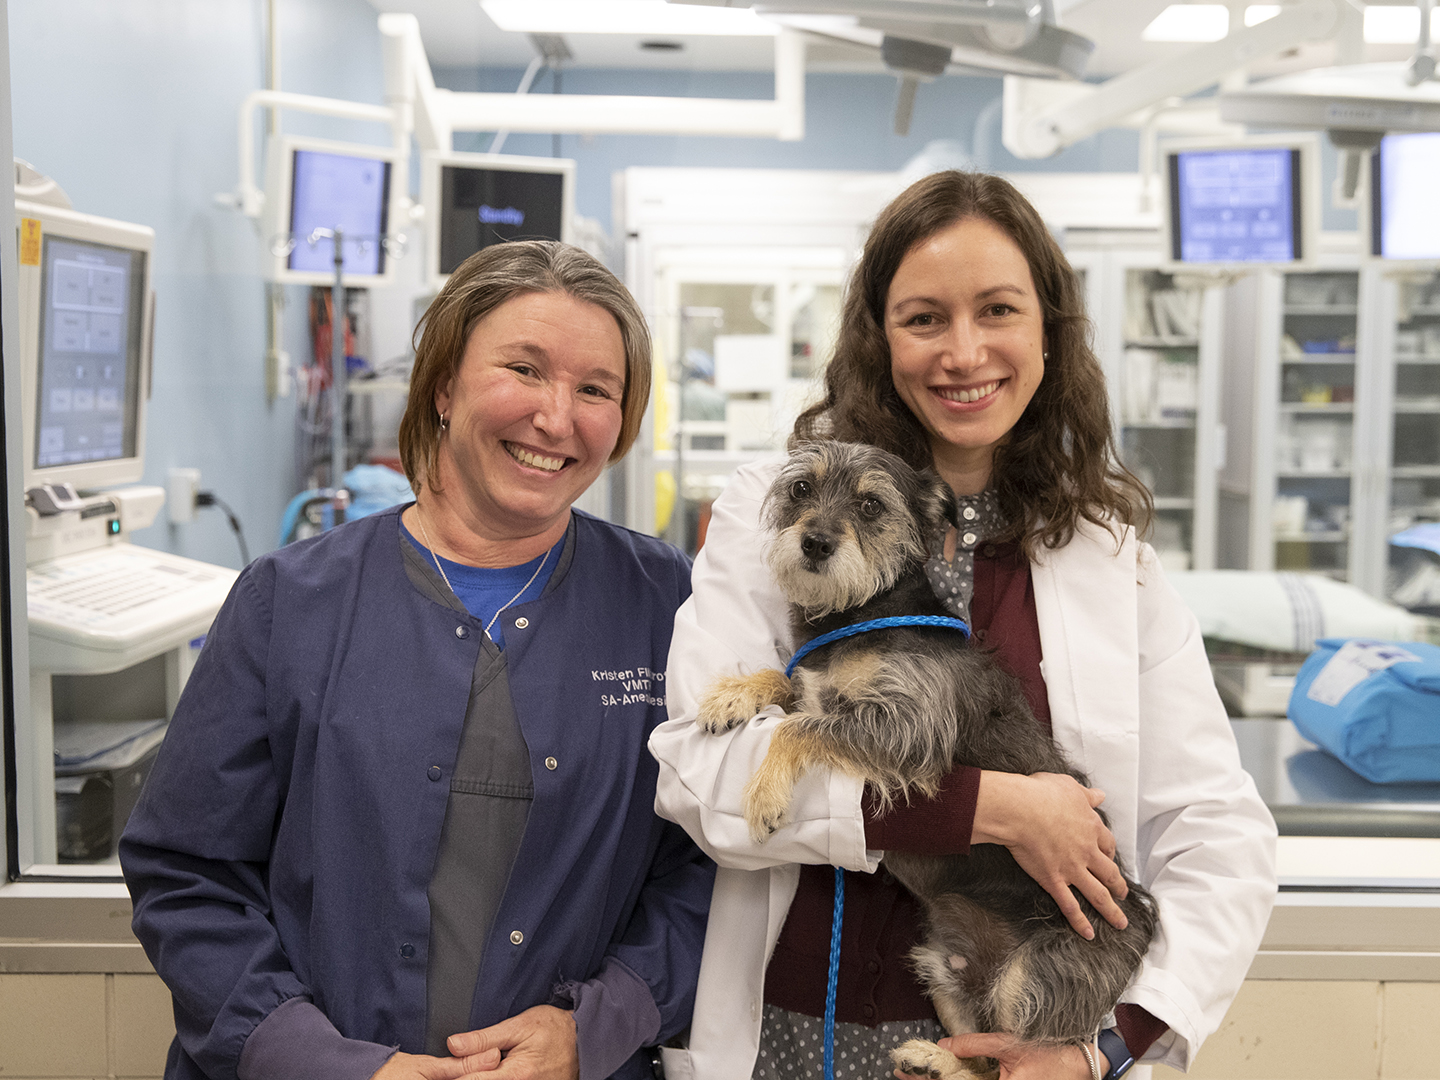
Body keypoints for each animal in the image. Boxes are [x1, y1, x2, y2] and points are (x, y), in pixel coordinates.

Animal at [696, 440, 1157, 1080]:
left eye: (870, 504)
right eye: (801, 490)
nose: (815, 542)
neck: (862, 612)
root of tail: (1139, 915)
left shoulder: (908, 727)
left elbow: (800, 727)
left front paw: (764, 794)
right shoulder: (818, 684)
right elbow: (787, 684)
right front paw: (733, 694)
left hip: (1033, 978)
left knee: (1019, 1055)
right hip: (943, 969)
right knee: (983, 1052)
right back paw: (933, 1059)